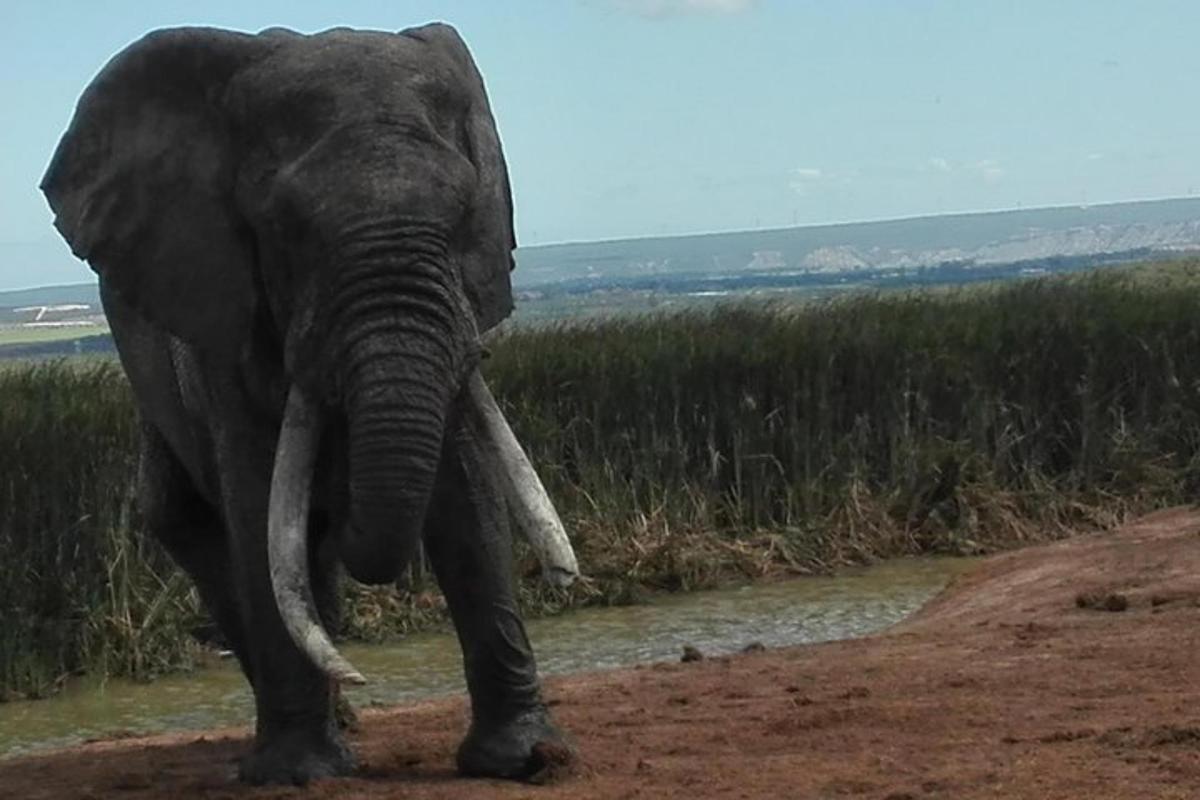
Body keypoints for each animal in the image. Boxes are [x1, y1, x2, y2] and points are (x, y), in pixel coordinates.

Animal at [39, 23, 578, 786]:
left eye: (464, 215)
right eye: (285, 228)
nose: (562, 579)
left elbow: (470, 497)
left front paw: (529, 758)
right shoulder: (220, 317)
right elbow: (256, 495)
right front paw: (297, 775)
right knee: (200, 528)